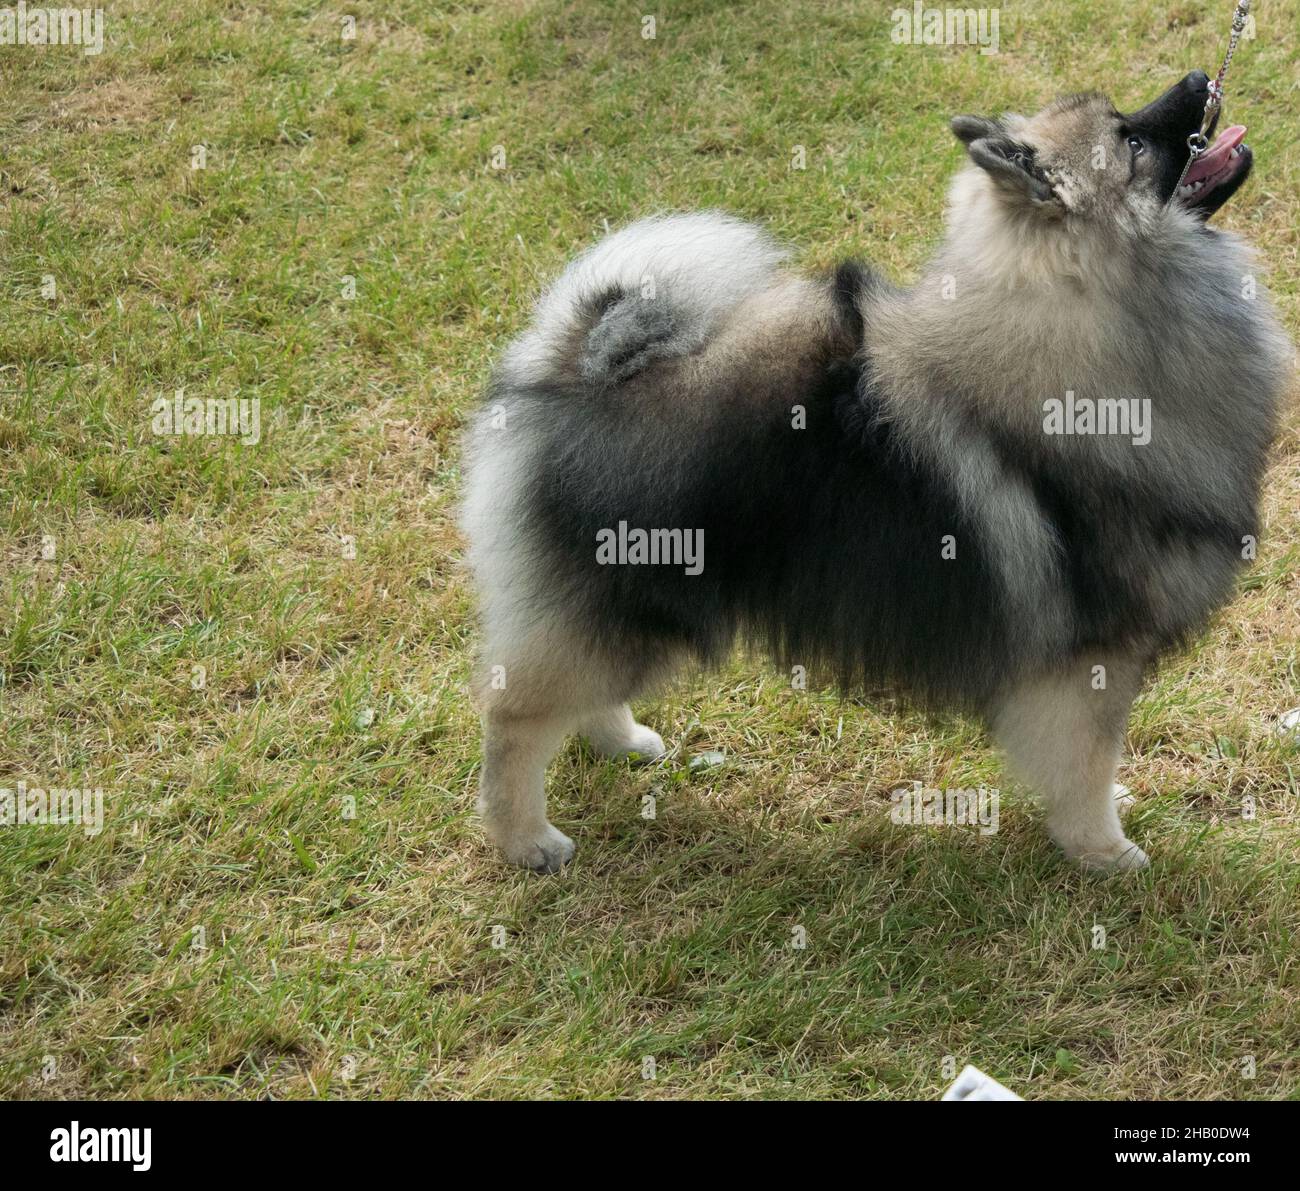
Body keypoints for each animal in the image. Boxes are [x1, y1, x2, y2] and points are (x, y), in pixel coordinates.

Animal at [457, 72, 1289, 873]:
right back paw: (525, 839)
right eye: (1131, 140)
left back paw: (624, 743)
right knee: (514, 717)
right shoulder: (1091, 657)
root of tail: (569, 373)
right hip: (625, 603)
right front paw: (1105, 851)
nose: (1202, 77)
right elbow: (1082, 763)